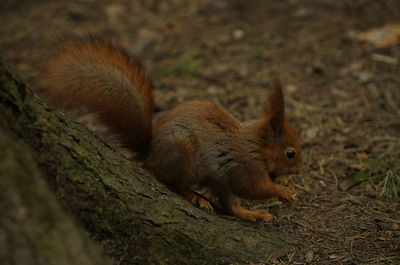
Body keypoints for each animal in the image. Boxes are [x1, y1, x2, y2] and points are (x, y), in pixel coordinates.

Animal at [40, 36, 302, 221]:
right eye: (291, 153)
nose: (299, 170)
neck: (256, 143)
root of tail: (150, 154)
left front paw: (286, 186)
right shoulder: (245, 164)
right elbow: (253, 187)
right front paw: (282, 191)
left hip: (216, 178)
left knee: (230, 206)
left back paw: (251, 214)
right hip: (183, 153)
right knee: (176, 183)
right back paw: (196, 197)